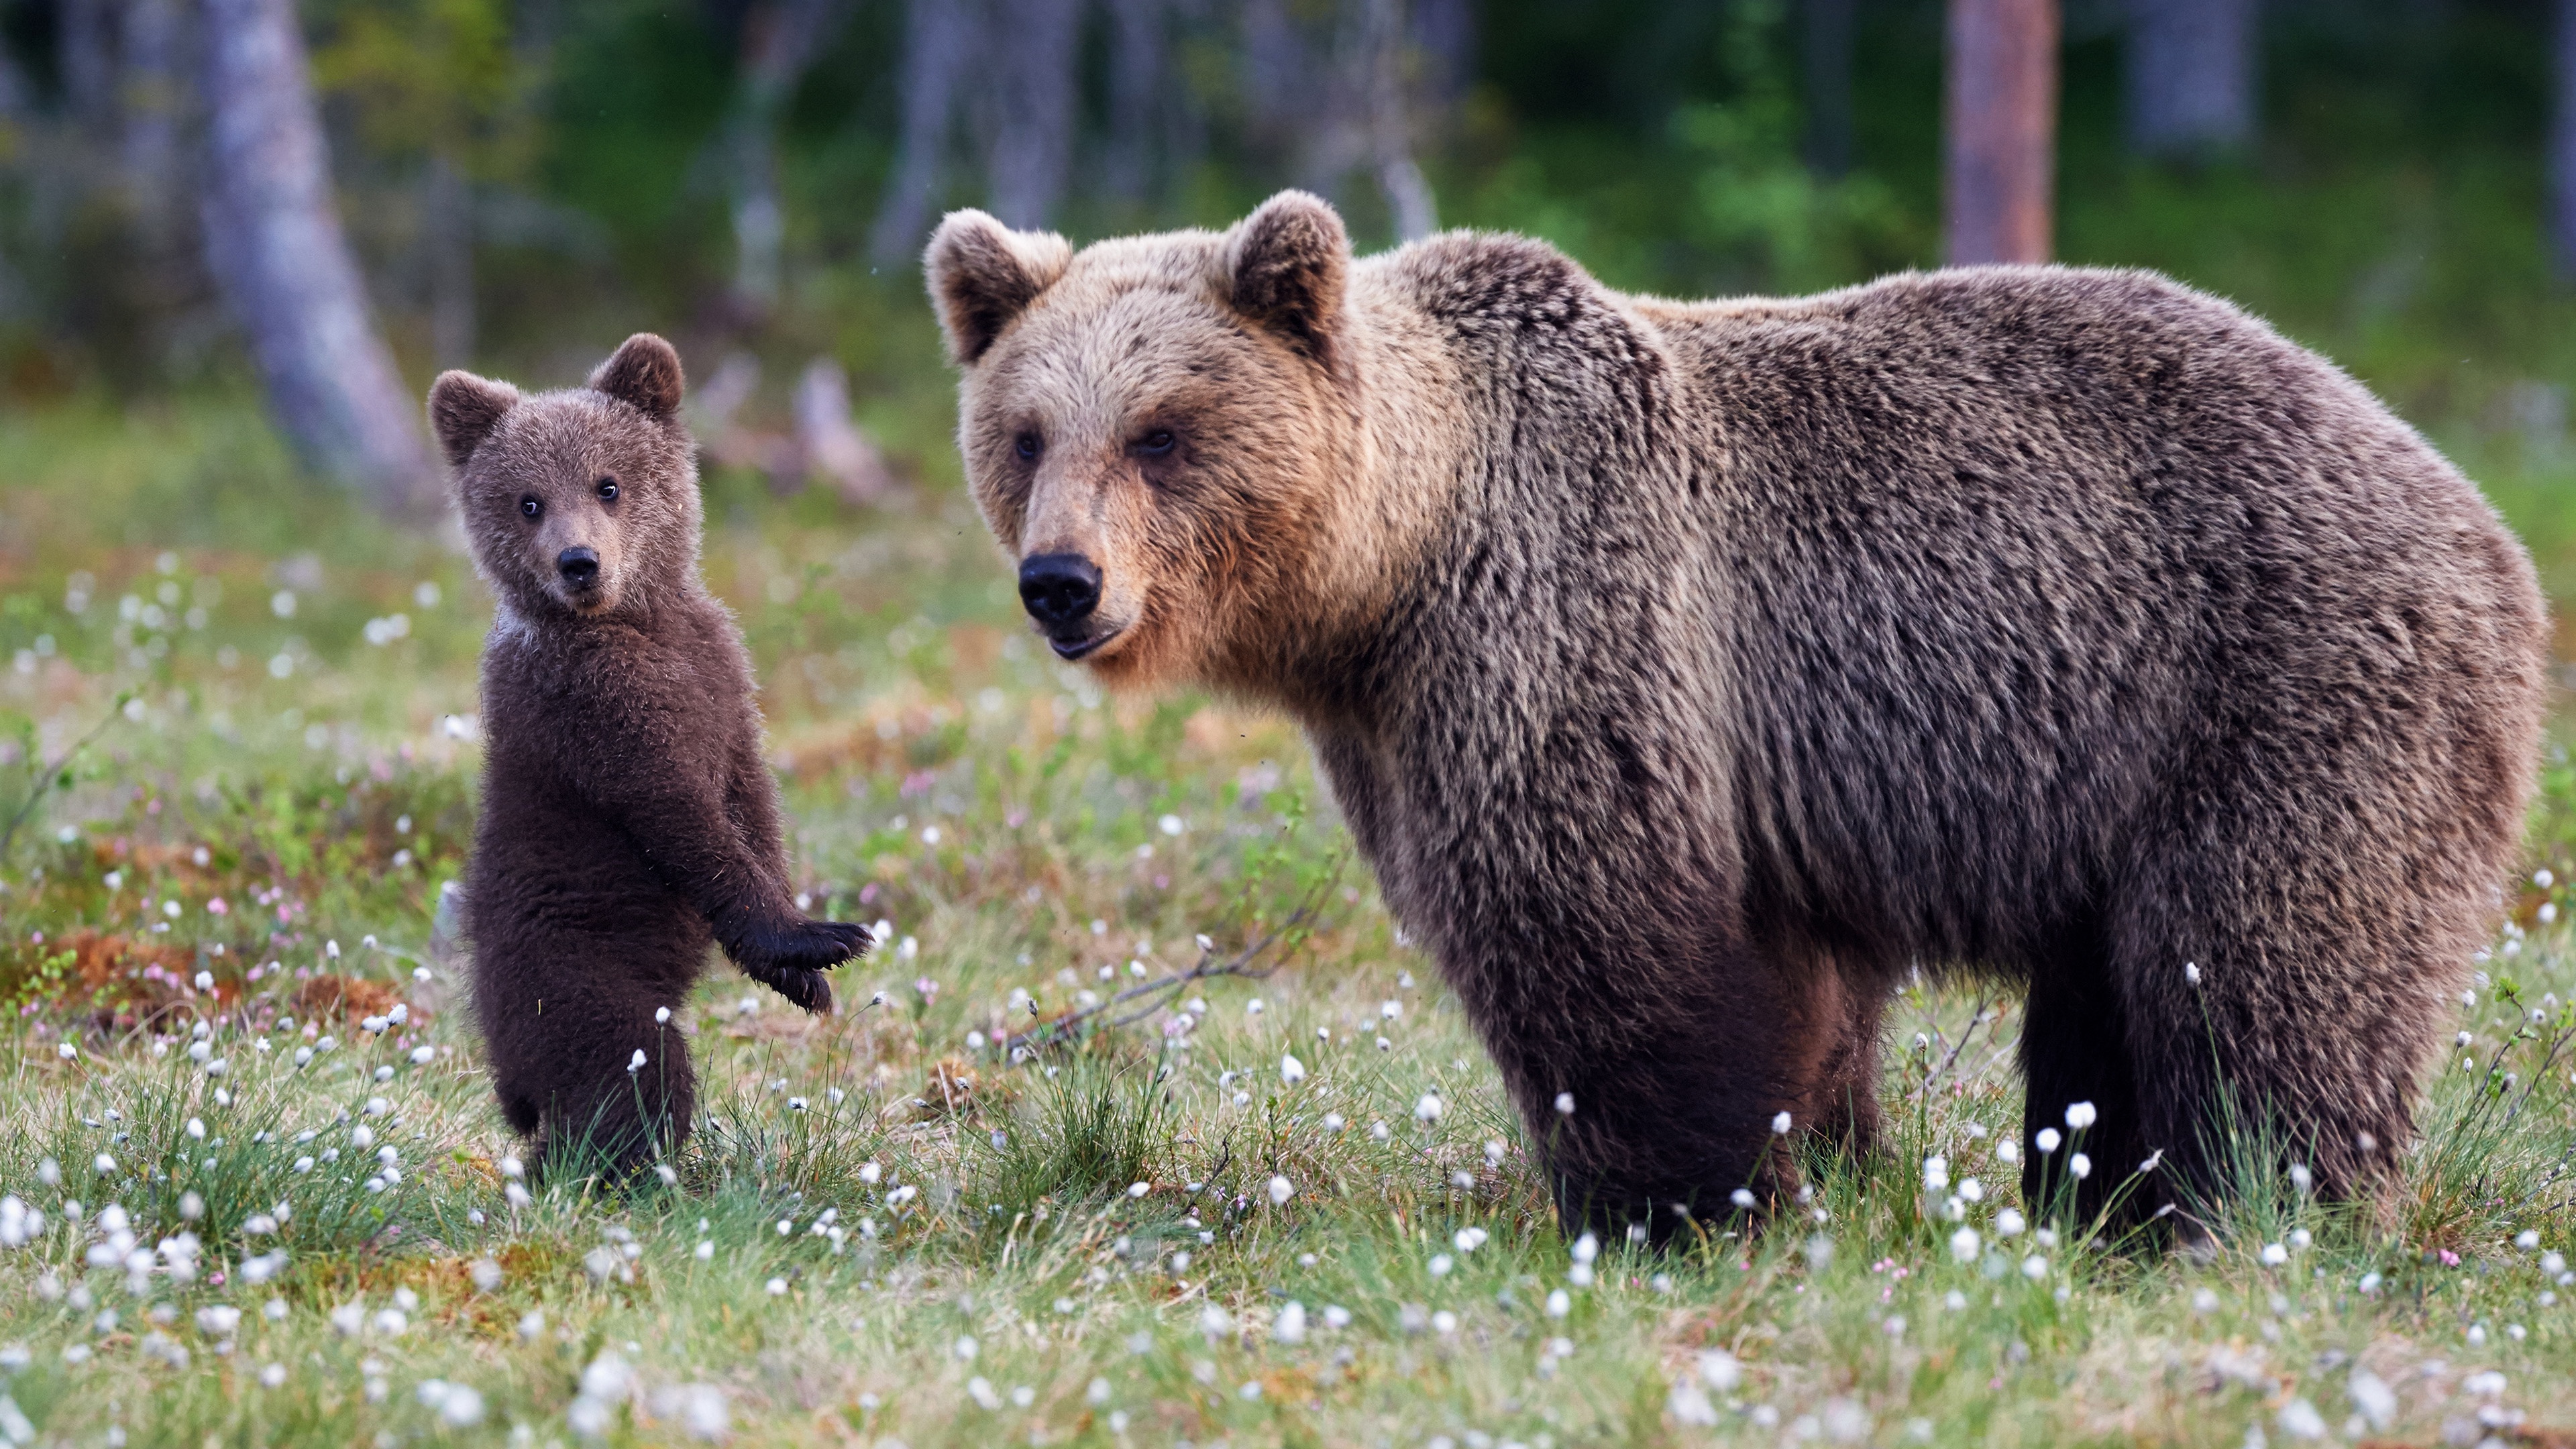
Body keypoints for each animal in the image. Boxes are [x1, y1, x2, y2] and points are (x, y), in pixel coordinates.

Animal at [922, 185, 2534, 1237]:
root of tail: (2482, 521)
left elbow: (1606, 936)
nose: (1061, 583)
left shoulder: (1569, 636)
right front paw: (1827, 1163)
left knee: (2260, 972)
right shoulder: (1407, 722)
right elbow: (1800, 991)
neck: (1390, 577)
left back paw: (2253, 1205)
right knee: (2114, 1006)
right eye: (1026, 434)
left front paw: (1668, 1204)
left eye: (1162, 433)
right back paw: (2105, 1204)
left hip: (2275, 698)